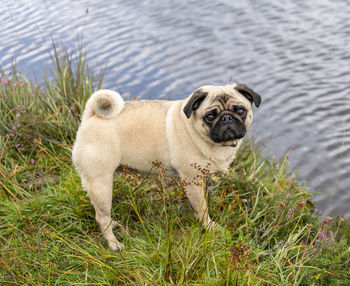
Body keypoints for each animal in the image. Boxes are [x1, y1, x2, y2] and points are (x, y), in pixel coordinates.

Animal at [72, 83, 262, 250]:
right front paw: (210, 227)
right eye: (209, 116)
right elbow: (202, 209)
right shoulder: (192, 181)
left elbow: (200, 204)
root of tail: (90, 117)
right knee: (101, 217)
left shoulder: (202, 179)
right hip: (101, 185)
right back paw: (114, 244)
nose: (227, 118)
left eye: (241, 111)